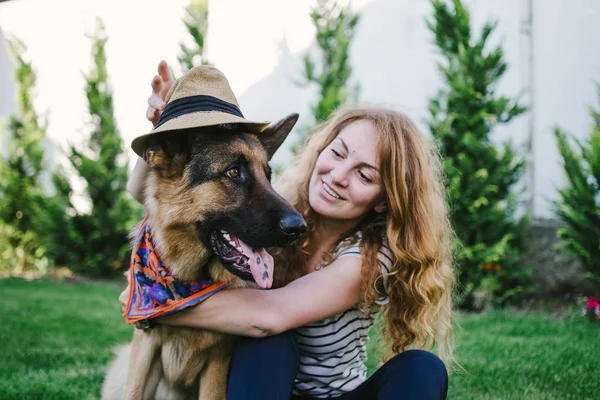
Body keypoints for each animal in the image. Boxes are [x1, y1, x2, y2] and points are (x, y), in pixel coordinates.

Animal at [102, 114, 304, 398]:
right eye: (234, 172)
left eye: (268, 176)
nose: (299, 227)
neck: (186, 281)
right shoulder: (144, 349)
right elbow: (134, 392)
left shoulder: (218, 361)